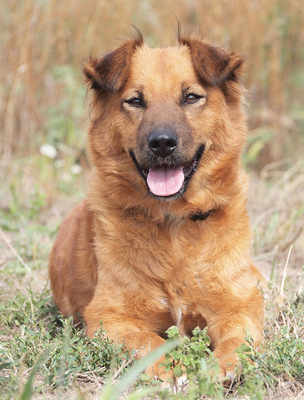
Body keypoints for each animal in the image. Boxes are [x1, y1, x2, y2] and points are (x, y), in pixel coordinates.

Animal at [48, 32, 264, 382]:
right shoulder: (109, 316)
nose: (162, 142)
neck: (173, 221)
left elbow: (238, 340)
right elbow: (148, 342)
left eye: (191, 97)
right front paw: (173, 368)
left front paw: (219, 367)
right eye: (135, 101)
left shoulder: (238, 306)